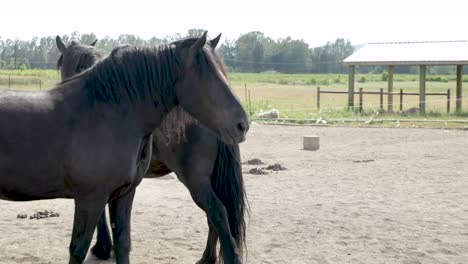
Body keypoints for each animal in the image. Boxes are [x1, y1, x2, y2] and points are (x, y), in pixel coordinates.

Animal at [0, 33, 249, 264]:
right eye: (209, 77)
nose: (242, 124)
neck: (104, 114)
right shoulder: (92, 198)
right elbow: (80, 249)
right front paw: (102, 247)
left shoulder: (121, 195)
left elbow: (122, 244)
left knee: (217, 213)